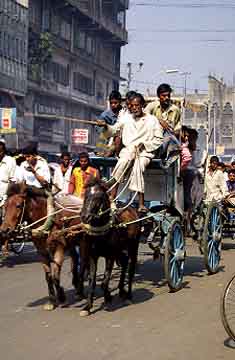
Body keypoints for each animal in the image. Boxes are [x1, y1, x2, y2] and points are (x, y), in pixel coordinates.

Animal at [78, 179, 140, 316]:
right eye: (86, 195)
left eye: (99, 197)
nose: (84, 216)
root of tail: (132, 209)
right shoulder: (93, 256)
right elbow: (92, 281)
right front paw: (87, 306)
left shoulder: (110, 256)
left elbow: (104, 282)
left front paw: (108, 297)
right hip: (120, 249)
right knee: (124, 262)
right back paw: (121, 289)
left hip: (133, 246)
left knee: (131, 269)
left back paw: (129, 295)